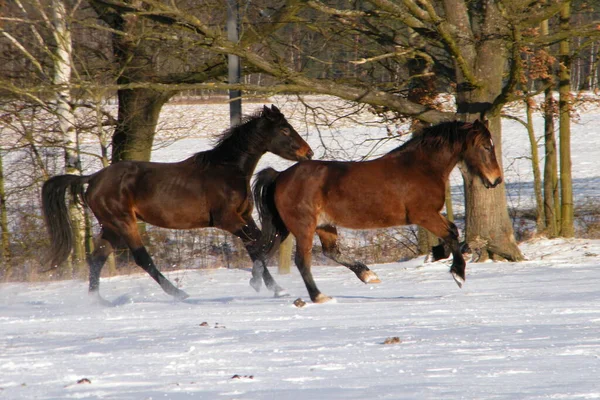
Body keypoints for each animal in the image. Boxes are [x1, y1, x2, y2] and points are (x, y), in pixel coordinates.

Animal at [42, 104, 314, 302]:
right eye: (285, 130)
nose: (308, 153)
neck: (227, 170)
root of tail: (93, 178)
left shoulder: (244, 216)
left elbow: (259, 243)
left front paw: (270, 285)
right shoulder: (227, 220)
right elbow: (256, 244)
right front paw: (267, 285)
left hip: (111, 227)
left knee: (96, 259)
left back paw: (97, 301)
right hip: (123, 223)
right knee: (142, 258)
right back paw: (179, 293)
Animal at [252, 119, 502, 304]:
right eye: (486, 146)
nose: (496, 180)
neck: (421, 168)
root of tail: (280, 175)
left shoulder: (431, 215)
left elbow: (452, 232)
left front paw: (443, 258)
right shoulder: (424, 215)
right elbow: (451, 233)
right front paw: (458, 274)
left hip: (316, 226)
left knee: (318, 252)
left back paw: (367, 275)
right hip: (303, 227)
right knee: (302, 261)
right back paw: (319, 296)